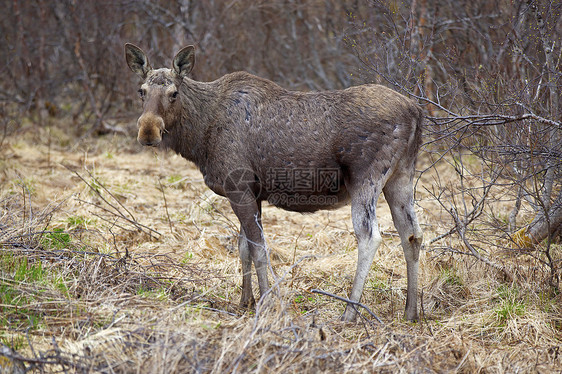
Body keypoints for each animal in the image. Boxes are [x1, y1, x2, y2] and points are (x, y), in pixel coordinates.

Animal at [124, 42, 422, 320]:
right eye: (141, 91)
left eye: (173, 93)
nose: (148, 131)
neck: (199, 138)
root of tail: (415, 111)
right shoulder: (251, 193)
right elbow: (243, 248)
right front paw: (245, 301)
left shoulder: (238, 186)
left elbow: (259, 250)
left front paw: (266, 302)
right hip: (401, 176)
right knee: (412, 234)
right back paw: (411, 311)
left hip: (365, 178)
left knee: (370, 236)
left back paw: (349, 312)